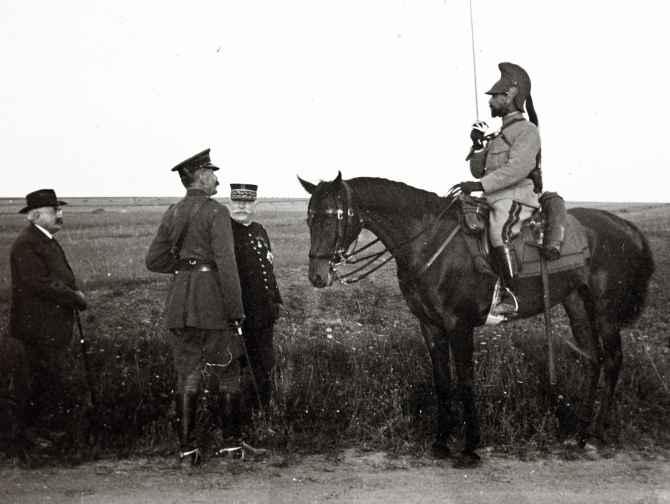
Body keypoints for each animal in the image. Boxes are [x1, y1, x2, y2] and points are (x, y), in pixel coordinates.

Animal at [300, 173, 656, 468]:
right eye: (309, 218)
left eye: (335, 216)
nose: (317, 275)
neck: (430, 243)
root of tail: (627, 229)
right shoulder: (430, 327)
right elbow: (442, 383)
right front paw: (441, 443)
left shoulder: (460, 327)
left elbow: (465, 382)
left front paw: (470, 448)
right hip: (577, 304)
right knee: (593, 359)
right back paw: (579, 433)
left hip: (605, 312)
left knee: (613, 360)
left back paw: (596, 434)